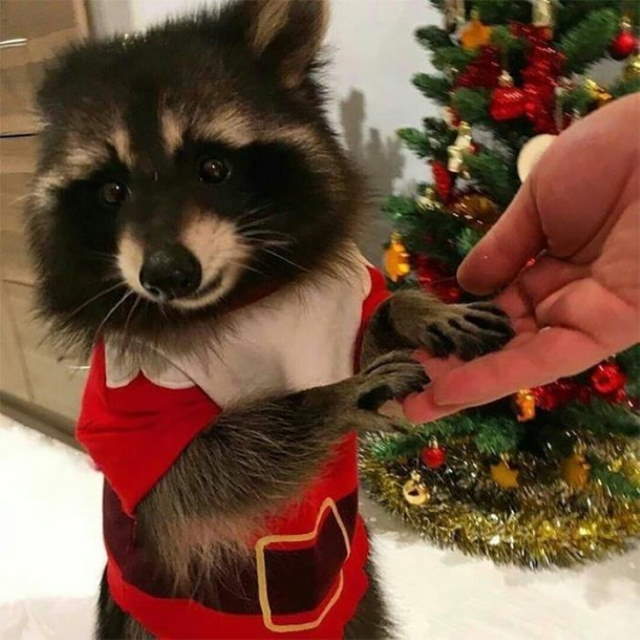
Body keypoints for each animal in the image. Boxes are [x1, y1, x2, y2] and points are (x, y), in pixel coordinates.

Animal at [27, 1, 513, 638]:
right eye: (112, 190)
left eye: (213, 167)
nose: (166, 275)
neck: (243, 296)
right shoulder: (129, 400)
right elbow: (190, 480)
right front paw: (332, 398)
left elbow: (370, 325)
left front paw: (419, 306)